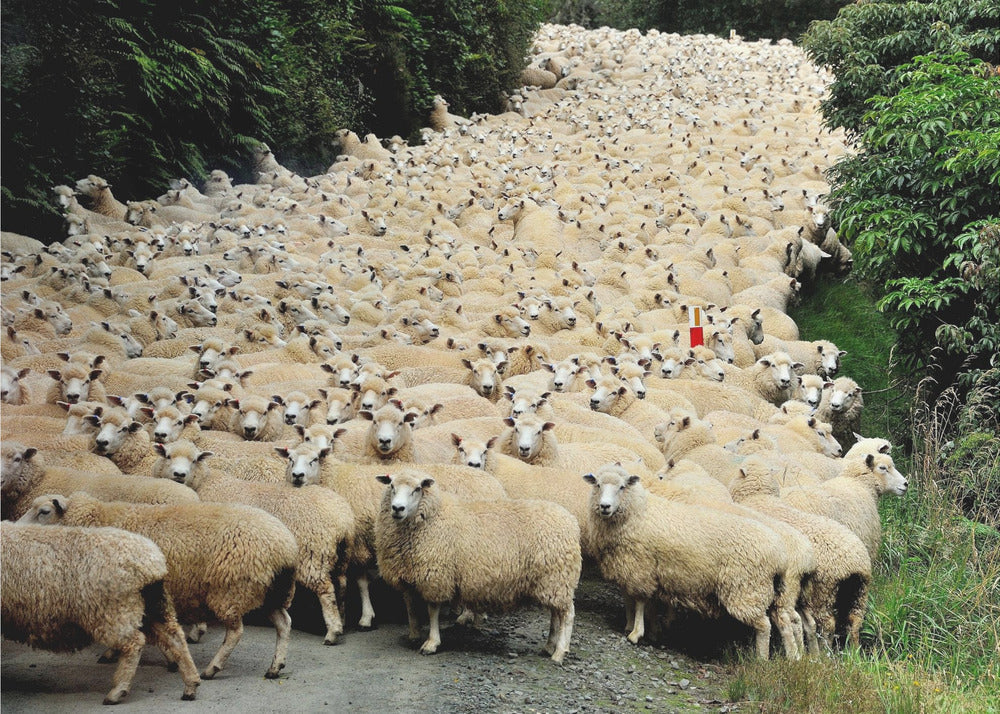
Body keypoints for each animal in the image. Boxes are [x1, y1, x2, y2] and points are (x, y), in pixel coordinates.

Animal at [1, 516, 201, 700]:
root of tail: (151, 563)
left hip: (115, 611)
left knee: (134, 642)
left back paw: (118, 690)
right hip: (152, 605)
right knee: (174, 636)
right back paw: (191, 684)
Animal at [20, 490, 296, 680]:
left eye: (44, 511)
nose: (17, 528)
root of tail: (286, 546)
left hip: (230, 589)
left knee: (236, 632)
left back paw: (212, 669)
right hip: (272, 592)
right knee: (284, 623)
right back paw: (275, 666)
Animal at [374, 470, 580, 660]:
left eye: (417, 489)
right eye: (391, 486)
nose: (397, 508)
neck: (432, 517)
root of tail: (571, 521)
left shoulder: (436, 576)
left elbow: (432, 611)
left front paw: (431, 643)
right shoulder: (407, 577)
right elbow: (411, 608)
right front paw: (414, 635)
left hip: (557, 578)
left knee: (567, 615)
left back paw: (559, 652)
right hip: (552, 582)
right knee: (556, 614)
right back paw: (549, 646)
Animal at [584, 462, 788, 656]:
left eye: (622, 487)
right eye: (598, 484)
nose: (605, 506)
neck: (638, 513)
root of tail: (780, 554)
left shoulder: (641, 568)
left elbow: (640, 601)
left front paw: (636, 633)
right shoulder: (626, 565)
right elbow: (630, 598)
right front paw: (635, 625)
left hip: (746, 589)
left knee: (764, 626)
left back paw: (761, 658)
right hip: (765, 591)